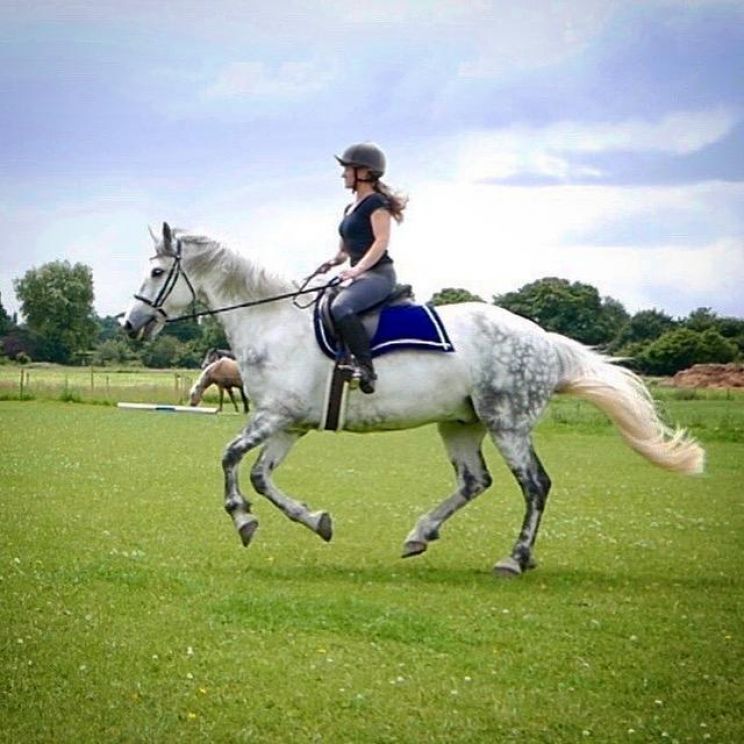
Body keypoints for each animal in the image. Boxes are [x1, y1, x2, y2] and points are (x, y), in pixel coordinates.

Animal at [122, 224, 704, 580]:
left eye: (156, 273)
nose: (130, 324)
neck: (273, 321)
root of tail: (543, 339)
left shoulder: (272, 417)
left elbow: (228, 460)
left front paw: (242, 519)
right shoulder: (288, 424)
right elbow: (263, 477)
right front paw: (315, 521)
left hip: (508, 422)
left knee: (534, 485)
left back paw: (515, 559)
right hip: (461, 423)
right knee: (475, 482)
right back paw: (421, 534)